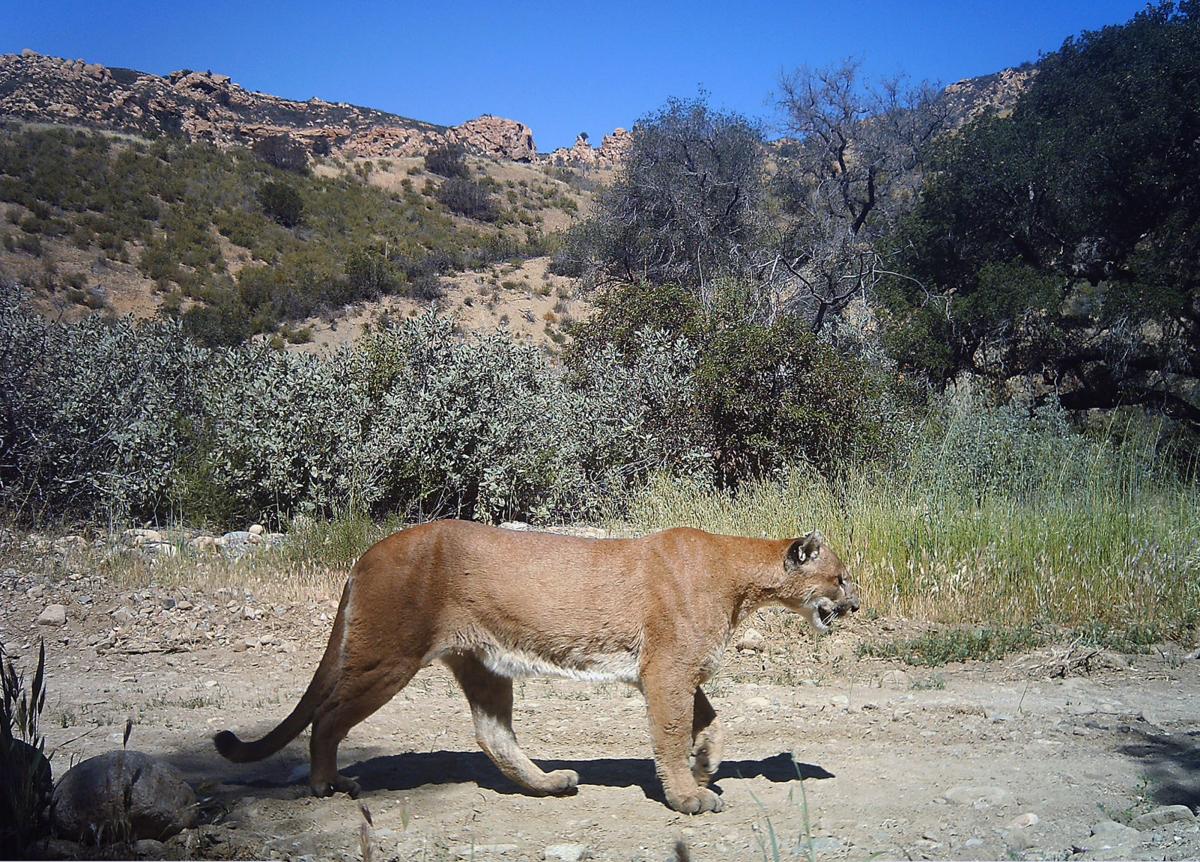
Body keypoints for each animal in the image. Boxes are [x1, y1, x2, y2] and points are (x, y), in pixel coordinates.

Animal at [214, 520, 859, 814]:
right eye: (840, 576)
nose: (855, 604)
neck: (743, 578)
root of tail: (367, 552)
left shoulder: (677, 672)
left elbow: (709, 720)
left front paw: (706, 768)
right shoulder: (667, 671)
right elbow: (673, 733)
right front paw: (687, 796)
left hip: (483, 664)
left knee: (493, 733)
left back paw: (550, 783)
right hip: (388, 657)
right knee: (327, 717)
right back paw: (328, 783)